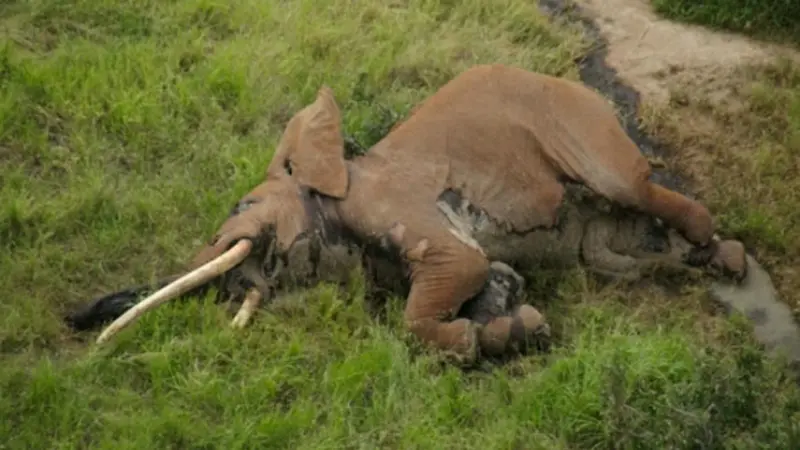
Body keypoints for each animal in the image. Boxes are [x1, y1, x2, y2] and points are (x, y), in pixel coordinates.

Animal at [70, 63, 752, 366]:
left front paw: (475, 342)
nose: (77, 319)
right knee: (613, 256)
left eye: (241, 209)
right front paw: (518, 327)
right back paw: (701, 262)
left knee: (632, 186)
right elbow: (492, 278)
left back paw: (727, 259)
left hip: (581, 127)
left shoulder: (394, 205)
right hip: (598, 241)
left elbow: (455, 271)